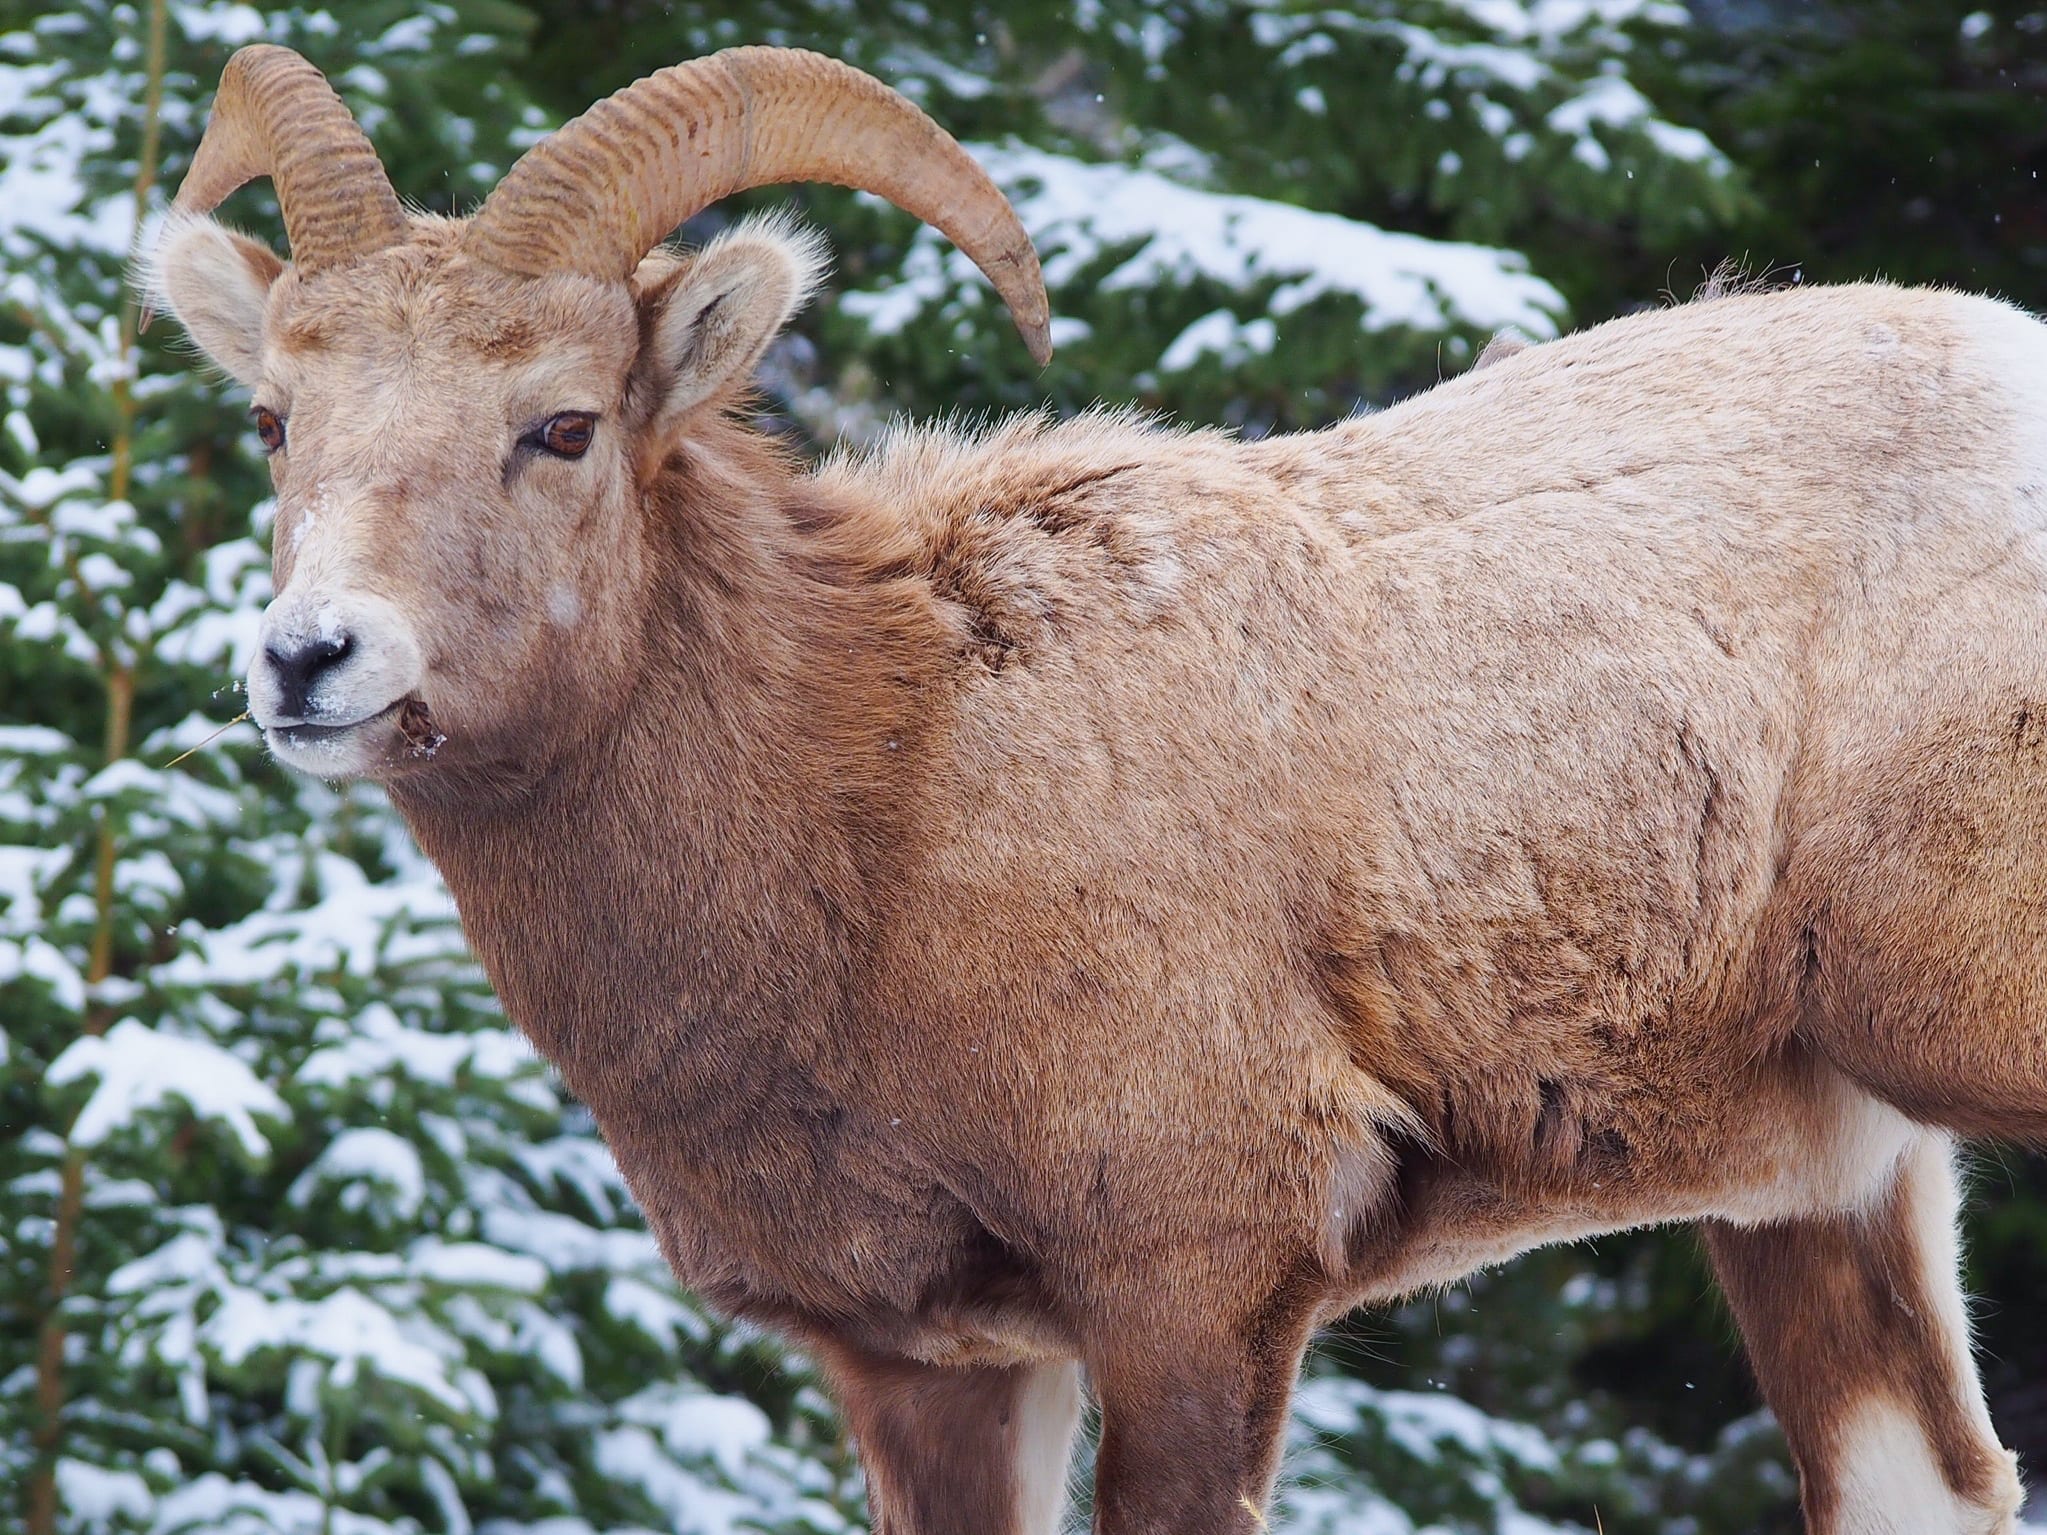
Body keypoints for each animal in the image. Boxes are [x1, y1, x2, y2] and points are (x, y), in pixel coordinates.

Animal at [148, 41, 2046, 1535]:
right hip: (1825, 1189)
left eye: (560, 426)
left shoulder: (1190, 1291)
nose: (310, 661)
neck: (881, 803)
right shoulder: (934, 1371)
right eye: (274, 420)